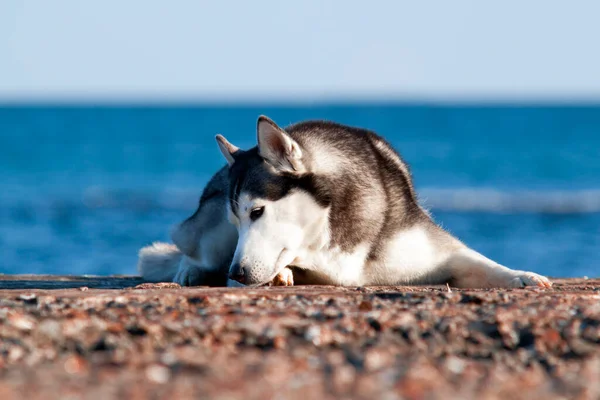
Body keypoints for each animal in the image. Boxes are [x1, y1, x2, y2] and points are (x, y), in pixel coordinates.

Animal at [138, 114, 552, 290]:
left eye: (256, 212)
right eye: (237, 220)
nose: (236, 274)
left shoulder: (438, 252)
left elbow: (482, 262)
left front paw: (523, 275)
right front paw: (283, 273)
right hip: (209, 234)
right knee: (189, 249)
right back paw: (191, 271)